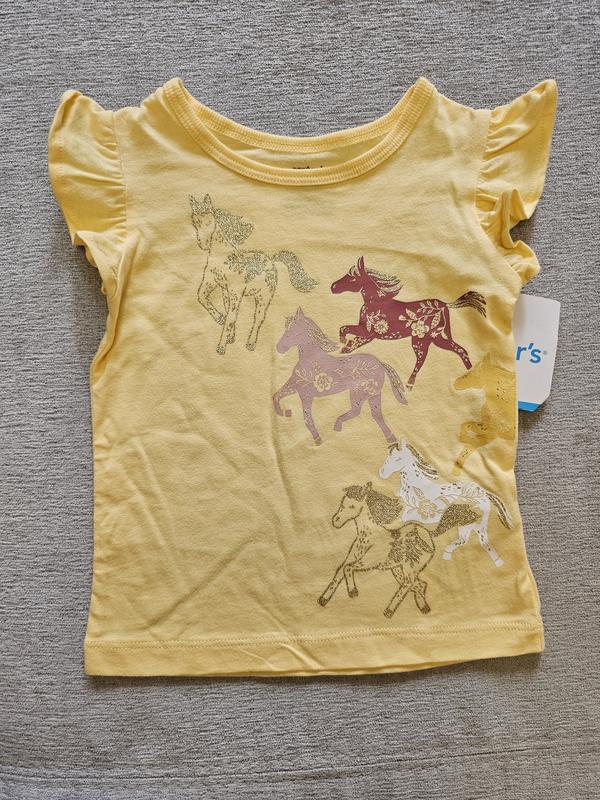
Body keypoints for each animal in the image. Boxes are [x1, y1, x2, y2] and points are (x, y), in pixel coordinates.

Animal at [189, 193, 317, 354]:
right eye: (194, 221)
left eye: (210, 219)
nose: (203, 244)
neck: (223, 259)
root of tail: (271, 260)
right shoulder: (213, 283)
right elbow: (203, 297)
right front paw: (220, 320)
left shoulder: (235, 292)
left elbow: (231, 316)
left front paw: (221, 347)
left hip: (264, 297)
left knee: (259, 317)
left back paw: (250, 343)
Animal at [273, 308, 407, 445]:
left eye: (292, 330)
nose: (279, 348)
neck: (310, 359)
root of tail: (380, 363)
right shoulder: (294, 386)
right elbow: (276, 396)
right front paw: (286, 412)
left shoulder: (305, 394)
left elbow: (307, 419)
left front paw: (318, 439)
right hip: (373, 394)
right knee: (376, 415)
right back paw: (391, 438)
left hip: (359, 393)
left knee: (357, 411)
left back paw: (337, 425)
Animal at [318, 481, 482, 618]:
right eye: (342, 503)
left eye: (351, 506)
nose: (335, 521)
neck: (367, 536)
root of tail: (429, 535)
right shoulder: (352, 557)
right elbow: (340, 571)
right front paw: (323, 599)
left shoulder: (371, 562)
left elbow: (347, 568)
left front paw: (353, 592)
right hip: (398, 569)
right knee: (420, 584)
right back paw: (423, 607)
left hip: (409, 569)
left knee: (409, 584)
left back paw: (389, 611)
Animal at [330, 255, 487, 388]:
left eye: (352, 279)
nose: (333, 287)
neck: (376, 302)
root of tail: (445, 305)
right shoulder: (367, 335)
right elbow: (350, 345)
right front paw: (342, 352)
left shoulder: (368, 332)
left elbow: (344, 330)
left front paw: (341, 344)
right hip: (438, 338)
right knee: (461, 350)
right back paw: (469, 373)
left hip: (421, 340)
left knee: (422, 360)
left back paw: (410, 384)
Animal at [379, 438, 512, 566]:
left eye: (398, 458)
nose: (382, 473)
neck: (416, 488)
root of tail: (483, 492)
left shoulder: (418, 516)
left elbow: (402, 521)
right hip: (466, 524)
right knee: (467, 540)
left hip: (478, 523)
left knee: (482, 541)